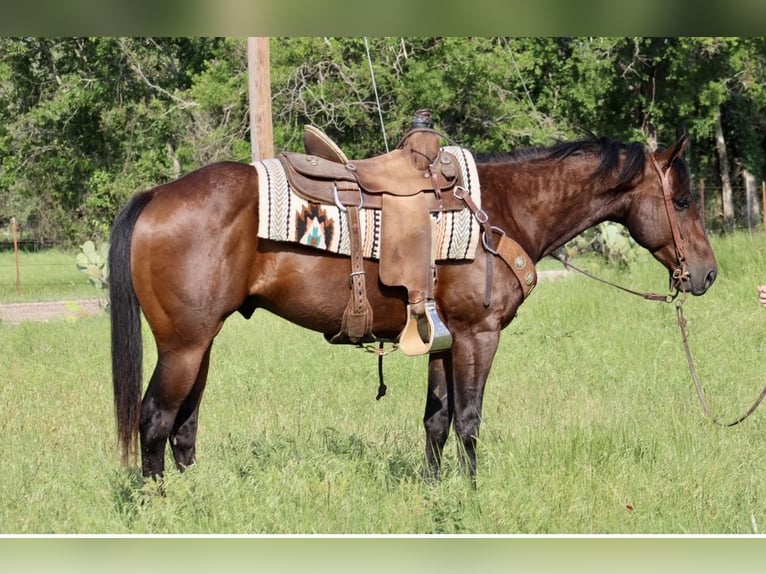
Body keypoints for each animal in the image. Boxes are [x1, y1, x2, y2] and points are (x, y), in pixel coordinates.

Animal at [109, 133, 720, 484]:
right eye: (684, 200)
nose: (708, 274)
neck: (499, 212)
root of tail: (157, 194)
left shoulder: (443, 340)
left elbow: (436, 418)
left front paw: (433, 489)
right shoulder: (478, 335)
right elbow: (469, 419)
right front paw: (472, 495)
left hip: (201, 344)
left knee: (184, 427)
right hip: (184, 345)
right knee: (155, 419)